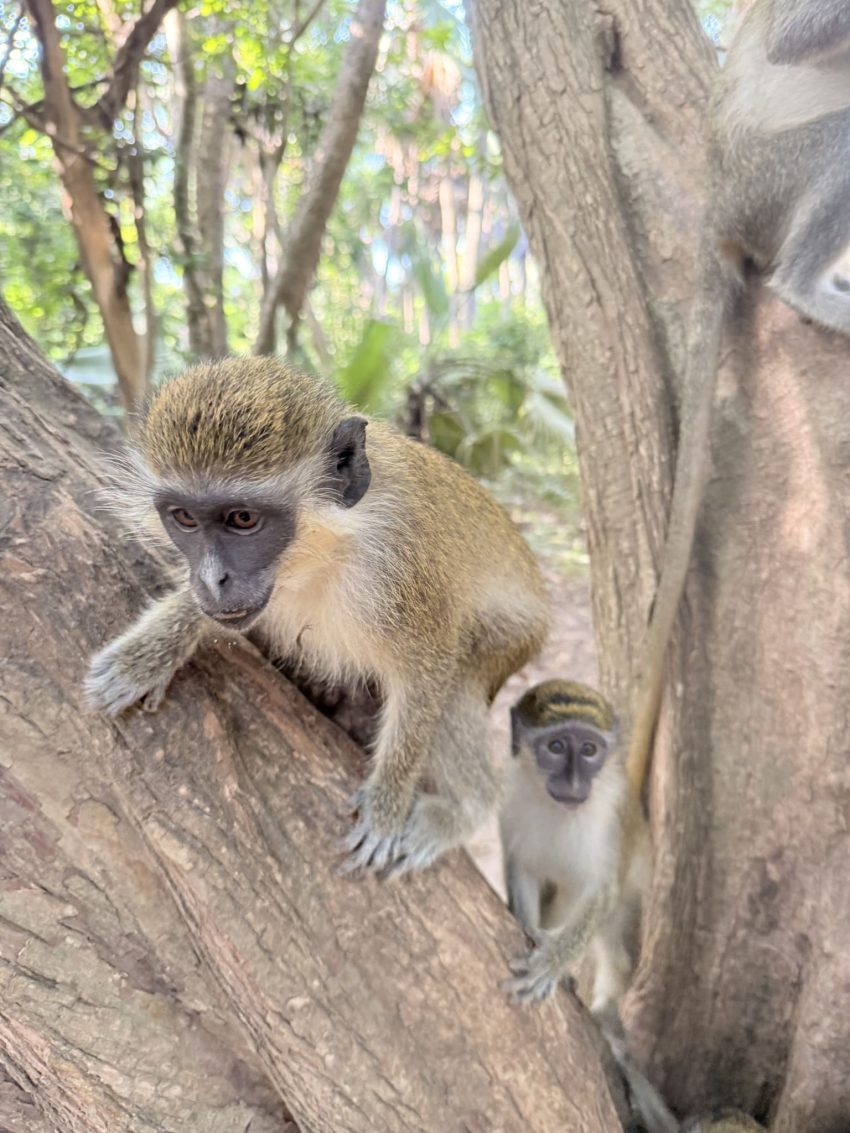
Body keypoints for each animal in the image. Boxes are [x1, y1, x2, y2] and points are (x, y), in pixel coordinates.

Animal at [85, 358, 549, 877]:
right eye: (185, 518)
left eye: (243, 519)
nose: (211, 577)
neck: (326, 548)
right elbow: (214, 613)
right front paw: (147, 654)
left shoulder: (401, 573)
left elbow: (428, 673)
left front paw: (386, 807)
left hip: (510, 642)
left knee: (454, 693)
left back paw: (466, 809)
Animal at [499, 680, 650, 1007]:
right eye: (556, 747)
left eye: (589, 749)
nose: (574, 782)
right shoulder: (511, 798)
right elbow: (523, 869)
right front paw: (532, 931)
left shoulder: (613, 812)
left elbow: (601, 890)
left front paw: (552, 962)